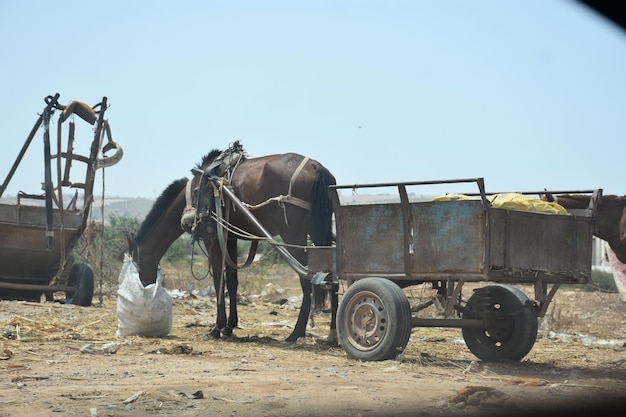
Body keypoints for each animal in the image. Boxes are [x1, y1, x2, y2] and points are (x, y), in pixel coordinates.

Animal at [123, 146, 336, 344]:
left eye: (137, 263)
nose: (143, 287)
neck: (193, 194)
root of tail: (316, 167)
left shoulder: (213, 240)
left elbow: (219, 280)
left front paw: (217, 328)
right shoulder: (231, 238)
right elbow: (232, 282)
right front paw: (230, 326)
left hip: (293, 235)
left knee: (307, 279)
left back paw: (296, 333)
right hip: (319, 232)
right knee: (331, 276)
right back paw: (333, 332)